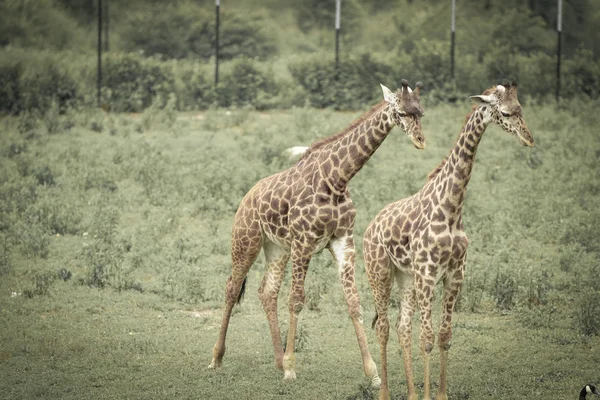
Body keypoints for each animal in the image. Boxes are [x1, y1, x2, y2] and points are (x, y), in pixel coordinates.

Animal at [211, 80, 426, 384]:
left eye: (420, 112)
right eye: (400, 112)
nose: (420, 141)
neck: (336, 180)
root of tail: (247, 196)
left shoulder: (343, 241)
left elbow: (353, 302)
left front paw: (372, 372)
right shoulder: (304, 242)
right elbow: (297, 300)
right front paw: (291, 368)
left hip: (277, 247)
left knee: (267, 291)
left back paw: (276, 360)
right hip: (246, 239)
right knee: (232, 287)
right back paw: (217, 357)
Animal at [360, 82, 536, 400]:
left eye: (521, 109)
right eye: (505, 113)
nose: (529, 139)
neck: (452, 207)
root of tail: (370, 227)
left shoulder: (455, 274)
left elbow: (444, 335)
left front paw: (438, 394)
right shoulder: (429, 274)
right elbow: (427, 338)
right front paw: (429, 395)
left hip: (407, 278)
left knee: (403, 327)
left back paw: (411, 393)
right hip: (379, 272)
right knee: (384, 327)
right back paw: (386, 392)